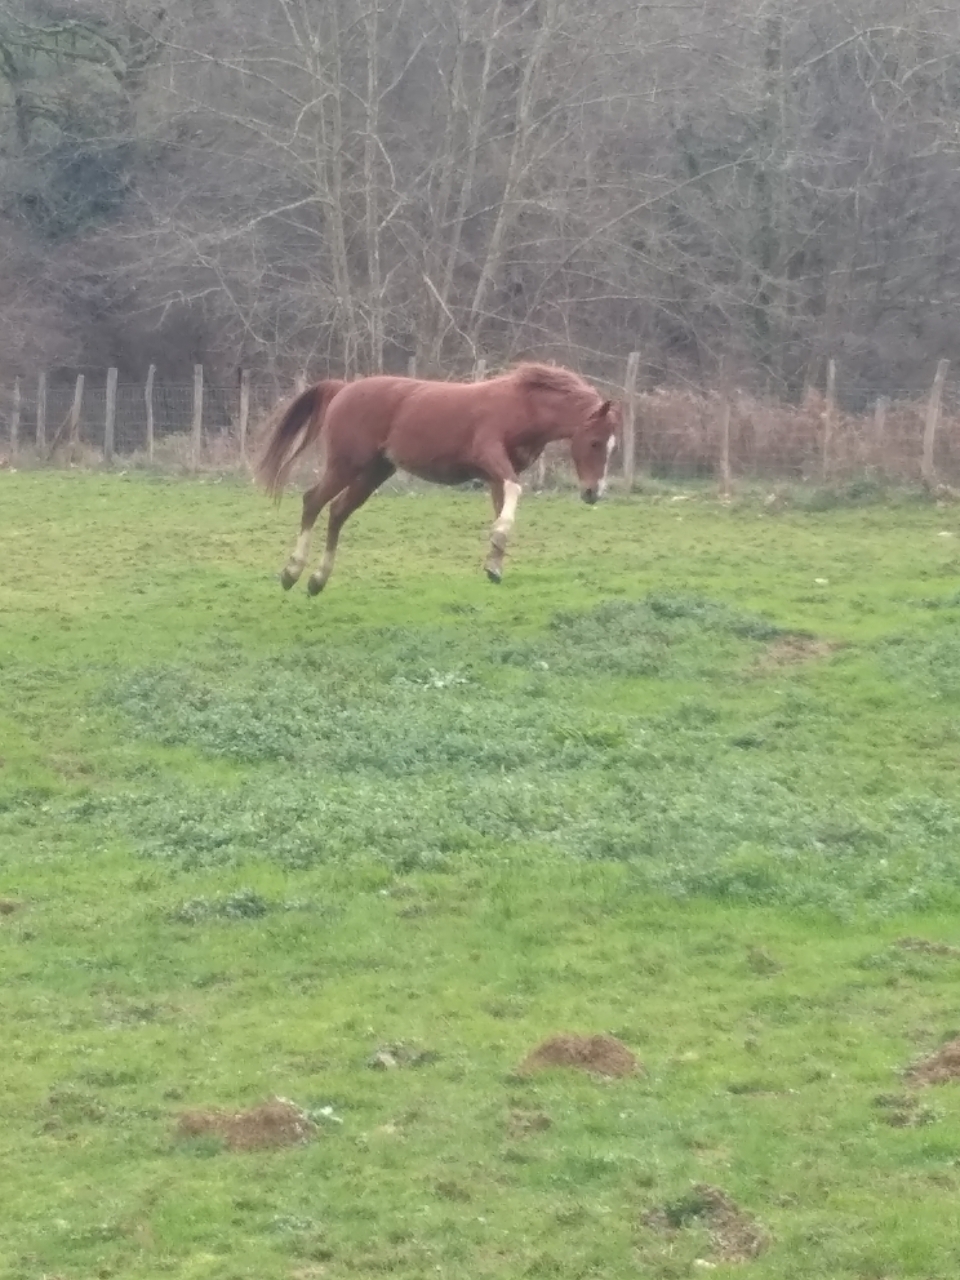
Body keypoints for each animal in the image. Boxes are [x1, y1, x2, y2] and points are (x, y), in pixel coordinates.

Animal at [255, 363, 622, 592]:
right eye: (595, 442)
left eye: (612, 446)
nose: (593, 493)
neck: (522, 405)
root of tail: (343, 389)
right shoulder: (491, 458)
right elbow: (514, 493)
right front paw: (497, 544)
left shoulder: (497, 475)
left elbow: (504, 502)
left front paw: (494, 564)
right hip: (346, 465)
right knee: (313, 502)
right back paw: (292, 572)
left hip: (374, 472)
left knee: (337, 512)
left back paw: (317, 580)